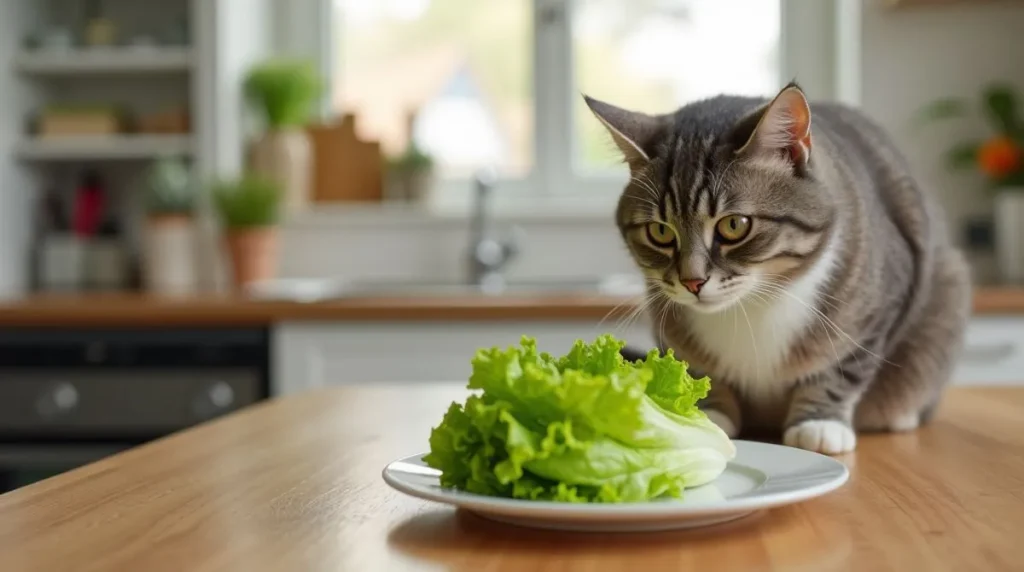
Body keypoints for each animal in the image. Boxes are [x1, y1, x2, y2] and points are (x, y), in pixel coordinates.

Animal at [589, 81, 970, 456]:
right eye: (660, 231)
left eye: (734, 225)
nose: (692, 281)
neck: (751, 304)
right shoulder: (666, 320)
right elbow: (694, 368)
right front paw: (704, 413)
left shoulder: (881, 304)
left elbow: (844, 366)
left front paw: (820, 422)